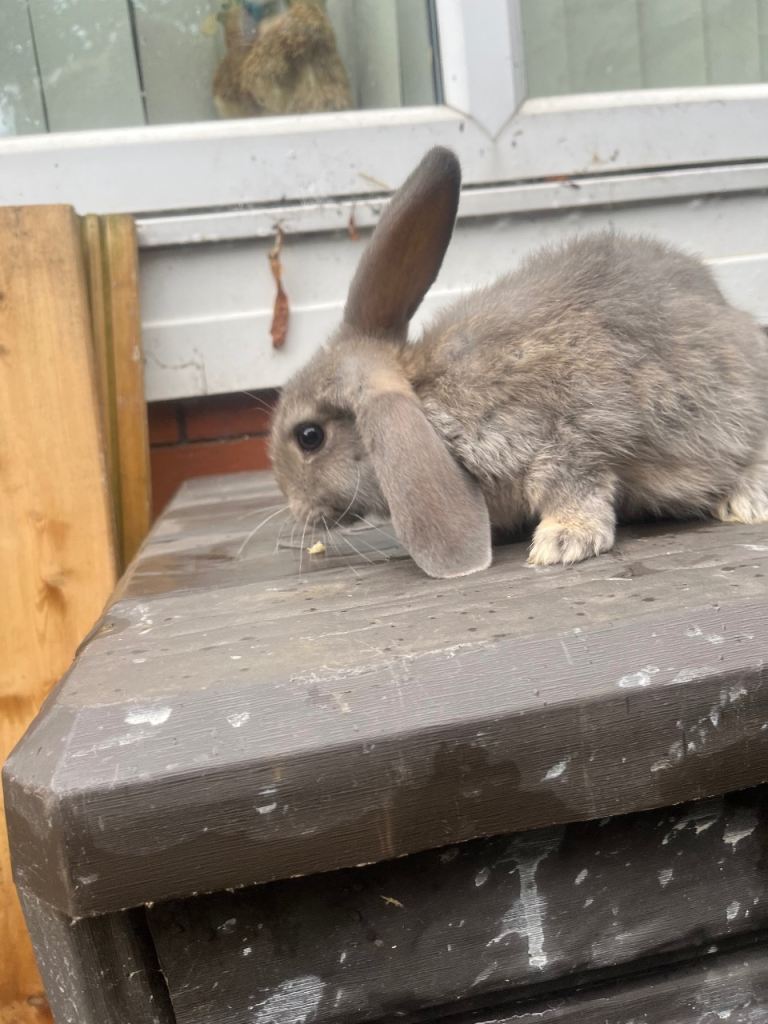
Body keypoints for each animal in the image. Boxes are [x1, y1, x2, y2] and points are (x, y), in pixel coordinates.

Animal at [271, 147, 768, 578]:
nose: (297, 509)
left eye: (310, 436)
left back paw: (747, 500)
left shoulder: (568, 438)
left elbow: (577, 487)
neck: (427, 399)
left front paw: (561, 542)